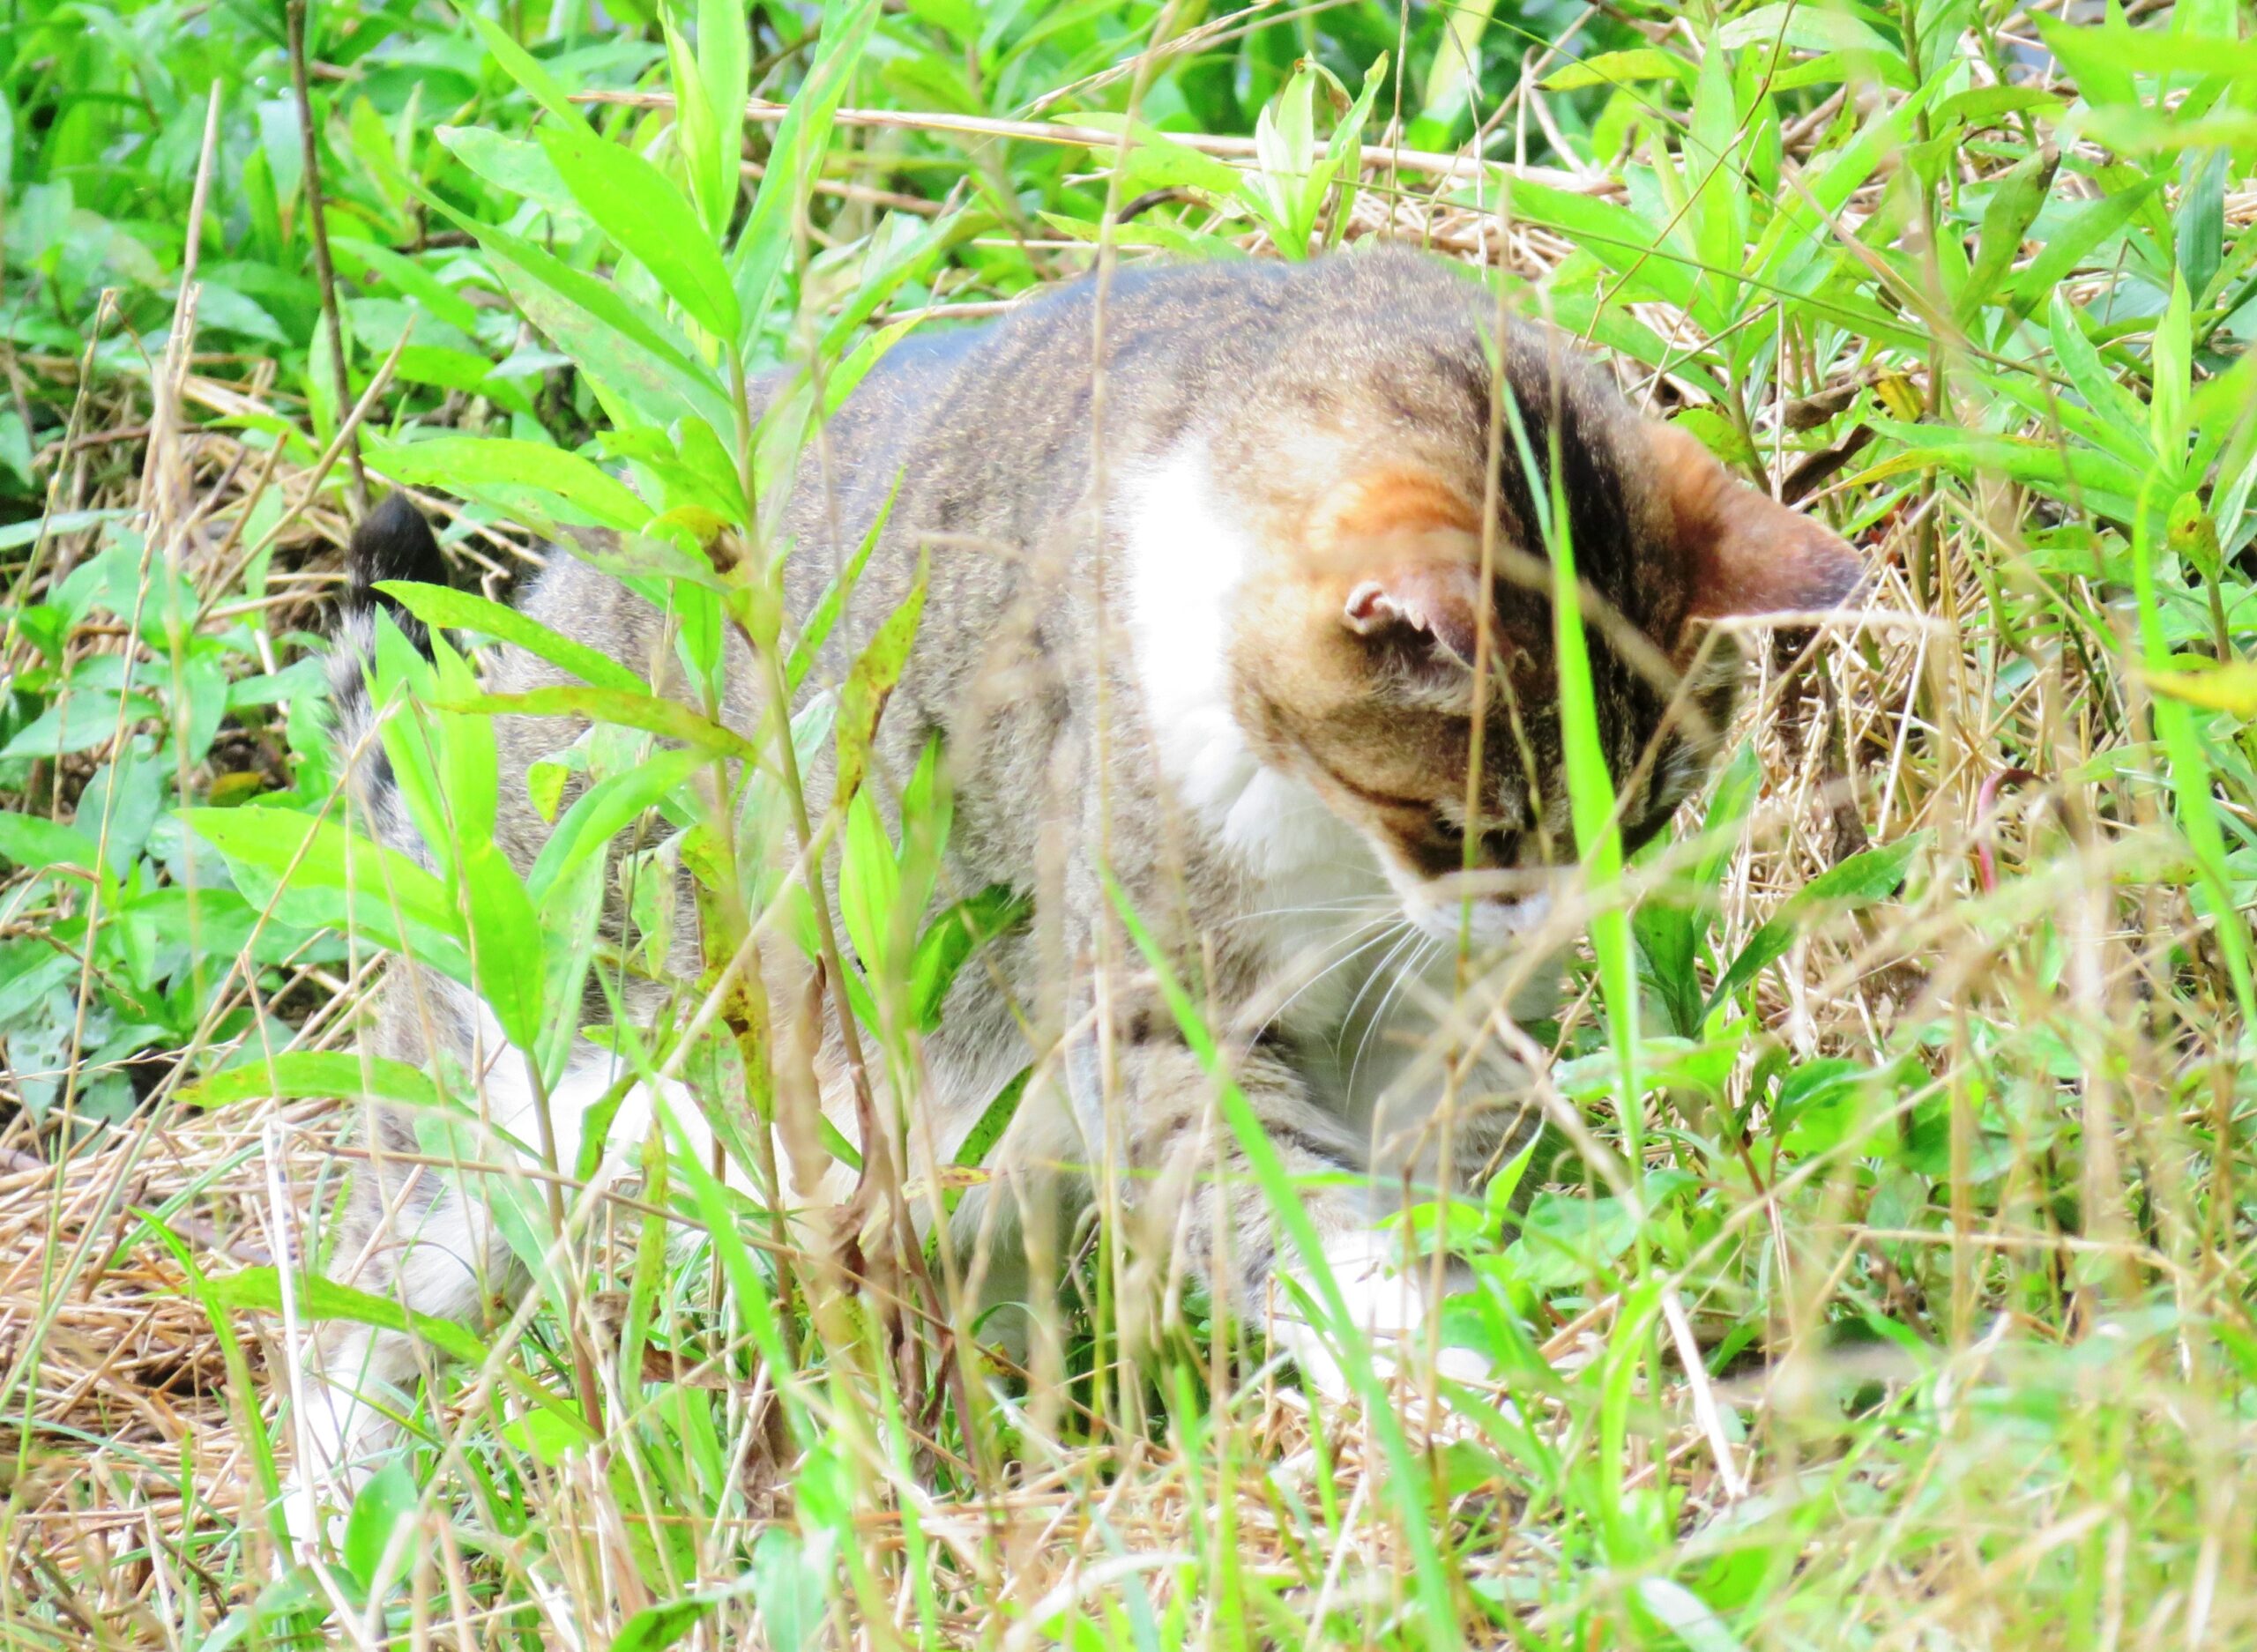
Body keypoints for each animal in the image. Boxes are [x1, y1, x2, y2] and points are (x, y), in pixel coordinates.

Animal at [291, 244, 1859, 1534]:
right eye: (1472, 821)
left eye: (1641, 818)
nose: (1552, 923)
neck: (1333, 853)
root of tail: (510, 653)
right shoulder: (1155, 1019)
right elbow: (1297, 1211)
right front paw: (1441, 1371)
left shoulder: (1417, 1020)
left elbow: (1429, 1176)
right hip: (506, 1108)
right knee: (354, 1305)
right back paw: (336, 1525)